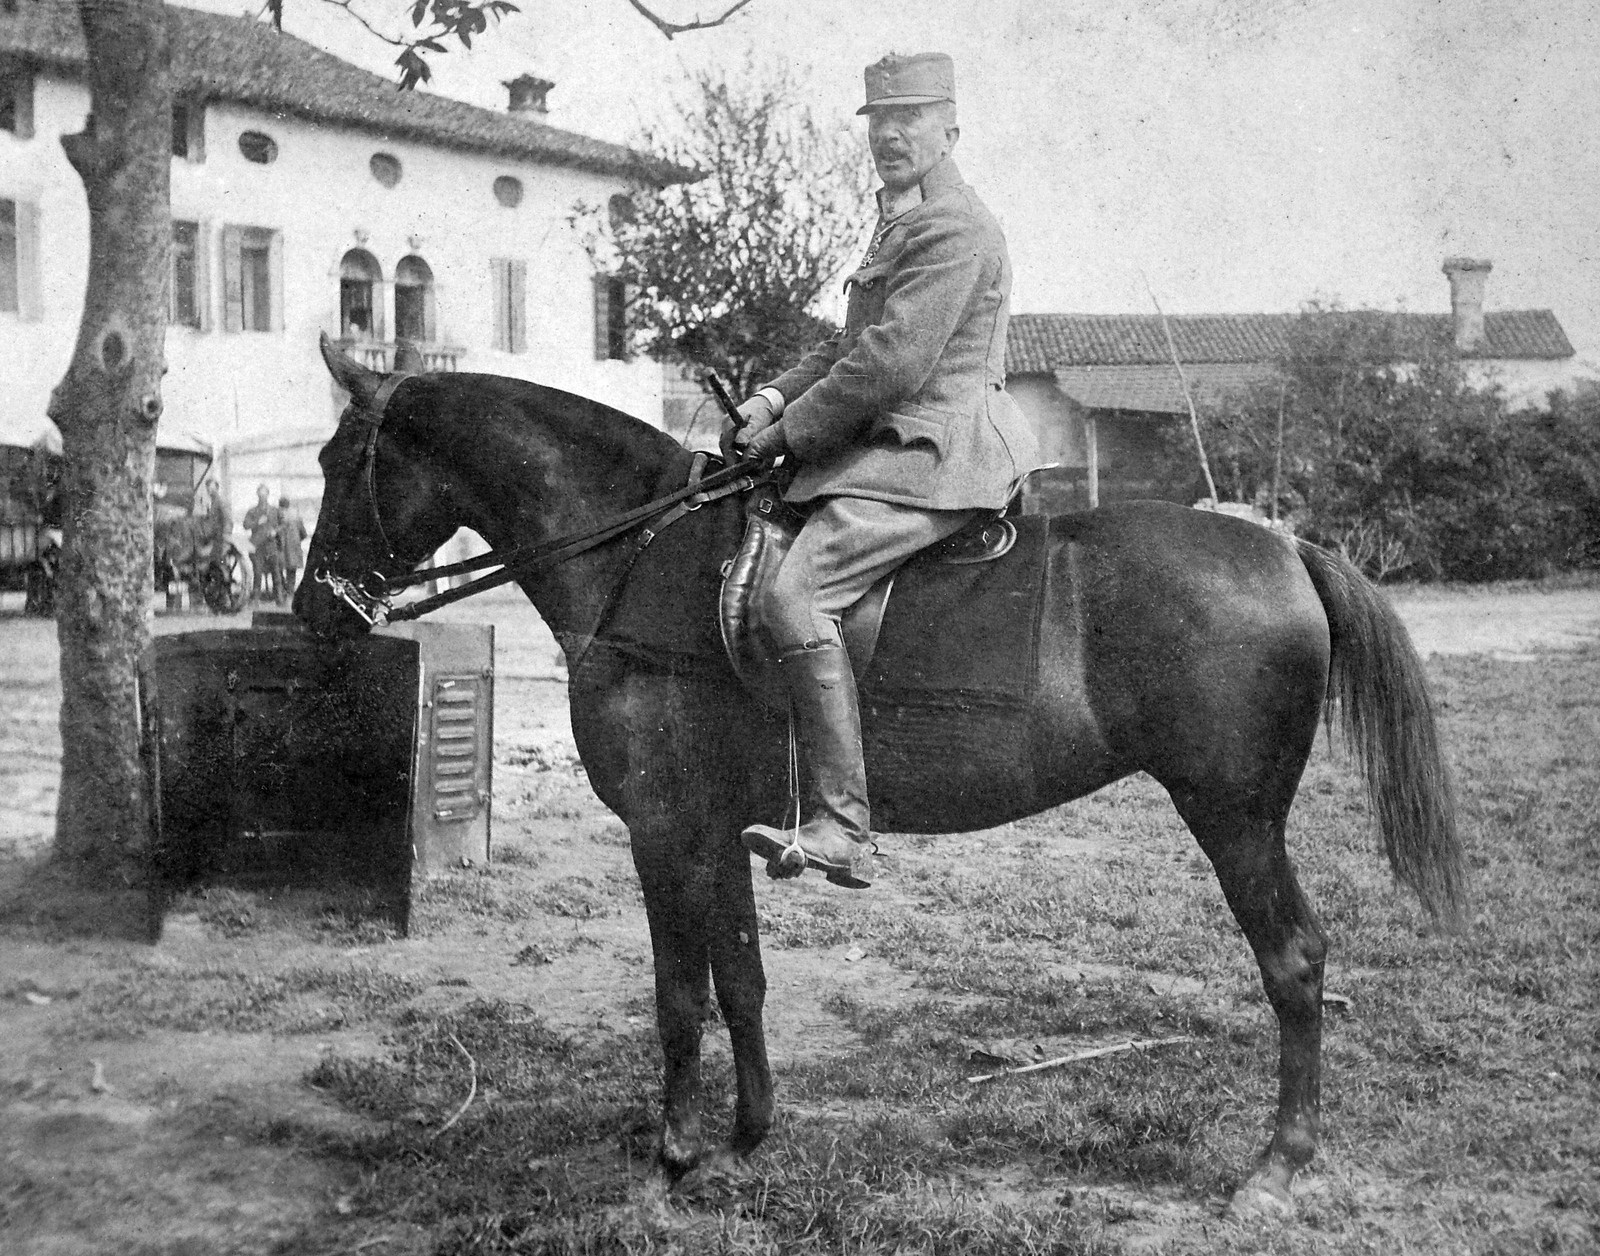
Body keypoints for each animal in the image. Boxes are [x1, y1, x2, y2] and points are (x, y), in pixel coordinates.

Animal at [297, 337, 1465, 1222]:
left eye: (336, 459)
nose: (315, 613)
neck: (639, 556)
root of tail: (1286, 549)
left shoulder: (663, 829)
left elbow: (679, 996)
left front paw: (674, 1154)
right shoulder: (722, 830)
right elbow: (742, 979)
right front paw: (748, 1134)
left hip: (1235, 818)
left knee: (1295, 963)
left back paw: (1276, 1166)